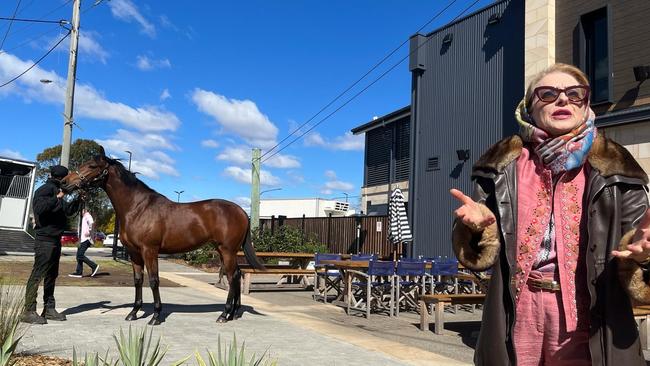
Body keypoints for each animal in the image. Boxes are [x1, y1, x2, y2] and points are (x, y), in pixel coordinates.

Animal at [60, 147, 264, 324]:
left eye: (92, 166)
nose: (64, 183)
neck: (137, 207)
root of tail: (241, 211)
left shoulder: (149, 250)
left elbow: (153, 280)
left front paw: (156, 316)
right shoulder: (134, 253)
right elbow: (138, 281)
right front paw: (133, 313)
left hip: (227, 250)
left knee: (231, 277)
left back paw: (224, 314)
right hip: (223, 251)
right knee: (236, 275)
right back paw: (233, 313)